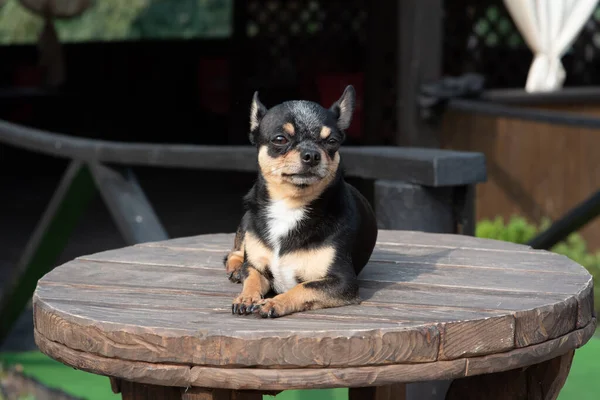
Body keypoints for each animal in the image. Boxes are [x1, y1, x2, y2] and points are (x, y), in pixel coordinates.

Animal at [223, 85, 378, 318]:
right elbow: (252, 277)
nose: (312, 155)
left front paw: (274, 302)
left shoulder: (342, 282)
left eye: (331, 141)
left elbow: (303, 287)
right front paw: (246, 297)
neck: (290, 205)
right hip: (246, 221)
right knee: (235, 252)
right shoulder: (255, 266)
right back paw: (234, 267)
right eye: (280, 139)